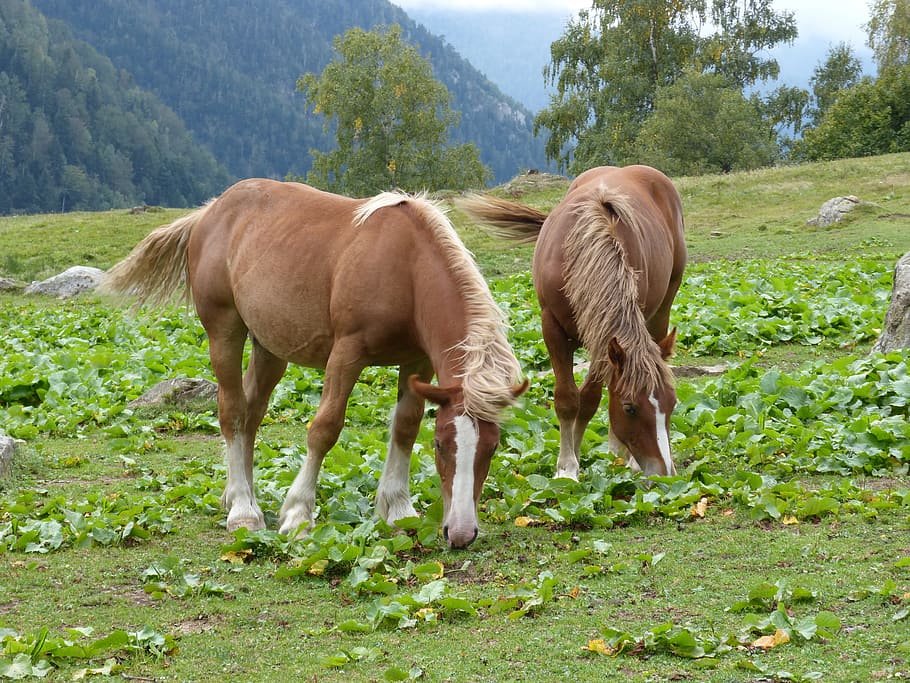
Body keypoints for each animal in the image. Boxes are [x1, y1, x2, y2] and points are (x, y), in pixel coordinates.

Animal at [102, 178, 527, 549]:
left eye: (492, 447)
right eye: (440, 445)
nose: (461, 533)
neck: (405, 268)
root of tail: (211, 211)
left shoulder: (417, 363)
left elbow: (405, 427)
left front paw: (397, 510)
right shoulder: (347, 354)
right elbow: (324, 429)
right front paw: (298, 514)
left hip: (270, 348)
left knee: (252, 415)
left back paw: (241, 496)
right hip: (224, 332)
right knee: (232, 412)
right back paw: (243, 510)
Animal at [457, 165, 686, 480]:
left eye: (672, 403)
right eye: (629, 408)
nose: (665, 473)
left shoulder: (603, 339)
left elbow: (589, 399)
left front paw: (577, 458)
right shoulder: (551, 327)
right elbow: (567, 399)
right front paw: (567, 467)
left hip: (662, 309)